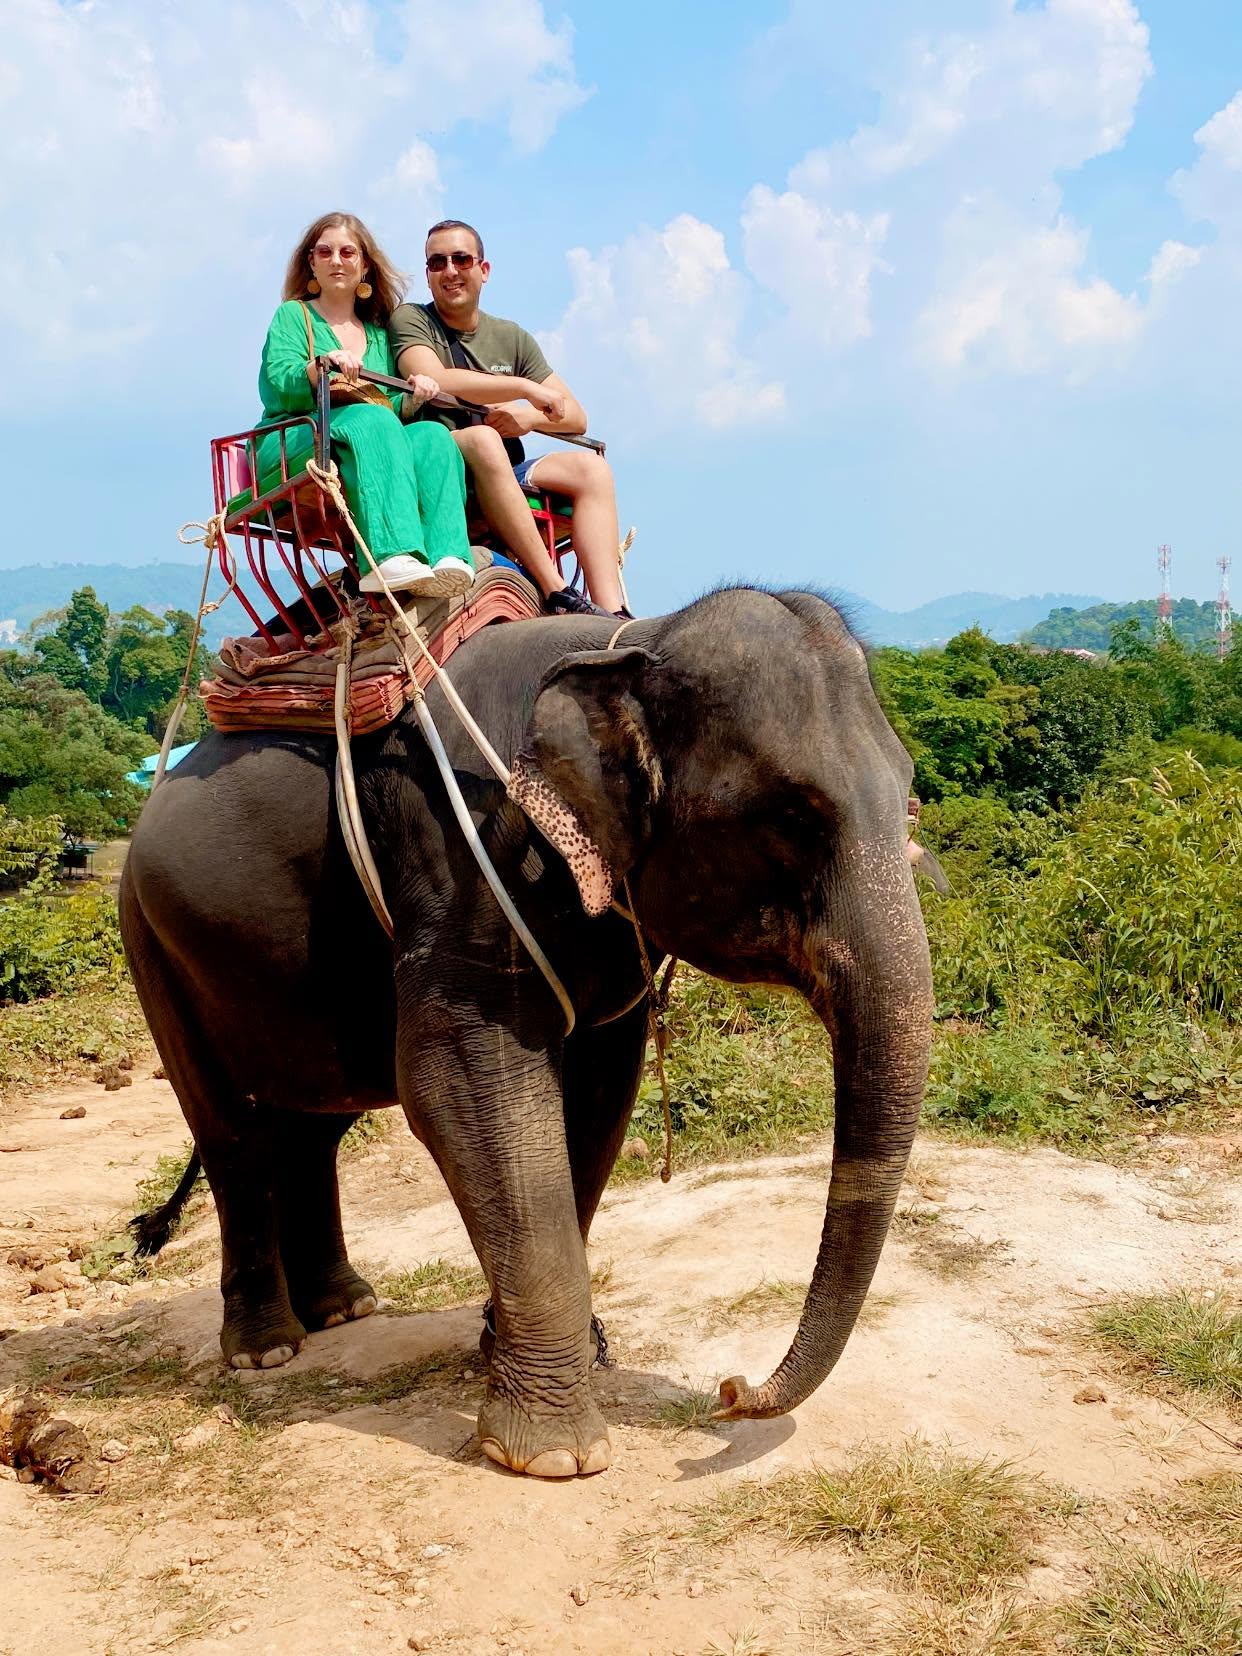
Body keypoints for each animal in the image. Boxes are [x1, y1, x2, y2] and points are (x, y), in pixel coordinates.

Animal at [119, 586, 934, 1480]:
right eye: (793, 817)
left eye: (909, 793)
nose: (729, 1390)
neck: (630, 647)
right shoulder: (465, 858)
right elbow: (457, 1081)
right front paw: (554, 1455)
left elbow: (600, 1094)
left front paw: (533, 1351)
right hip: (153, 945)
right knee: (232, 1133)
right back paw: (266, 1348)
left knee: (315, 1125)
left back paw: (344, 1307)